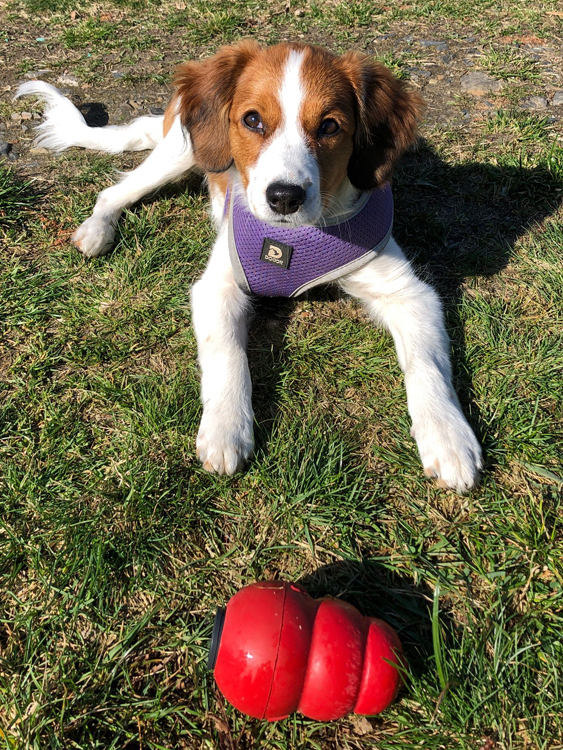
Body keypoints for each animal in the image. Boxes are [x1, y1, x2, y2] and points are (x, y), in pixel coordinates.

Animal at [17, 41, 484, 494]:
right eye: (253, 120)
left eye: (330, 126)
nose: (284, 197)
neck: (297, 237)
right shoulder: (217, 287)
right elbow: (228, 355)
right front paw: (226, 429)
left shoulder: (408, 293)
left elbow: (427, 364)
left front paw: (448, 436)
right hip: (180, 153)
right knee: (114, 192)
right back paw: (97, 230)